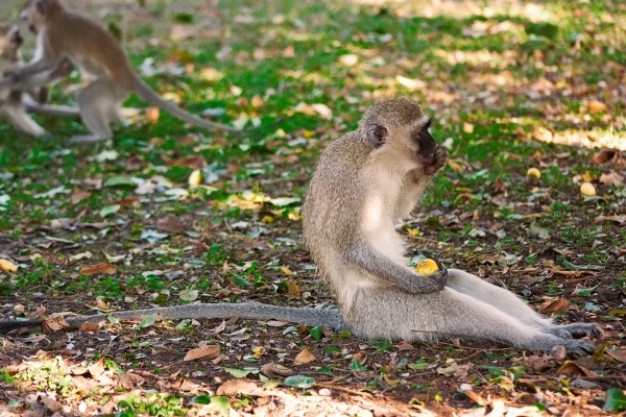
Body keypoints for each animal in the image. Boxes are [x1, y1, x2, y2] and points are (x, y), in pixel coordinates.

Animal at [0, 98, 604, 354]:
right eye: (423, 131)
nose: (435, 147)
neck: (376, 161)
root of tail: (348, 318)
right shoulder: (348, 186)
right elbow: (355, 247)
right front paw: (420, 276)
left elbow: (399, 221)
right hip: (382, 316)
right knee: (443, 297)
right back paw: (538, 341)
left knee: (463, 281)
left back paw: (558, 330)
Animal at [4, 0, 239, 143]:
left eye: (25, 18)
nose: (28, 28)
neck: (55, 15)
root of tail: (129, 76)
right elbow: (57, 63)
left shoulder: (52, 34)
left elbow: (49, 60)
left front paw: (17, 74)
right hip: (116, 92)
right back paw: (118, 122)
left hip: (112, 86)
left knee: (86, 97)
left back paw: (101, 135)